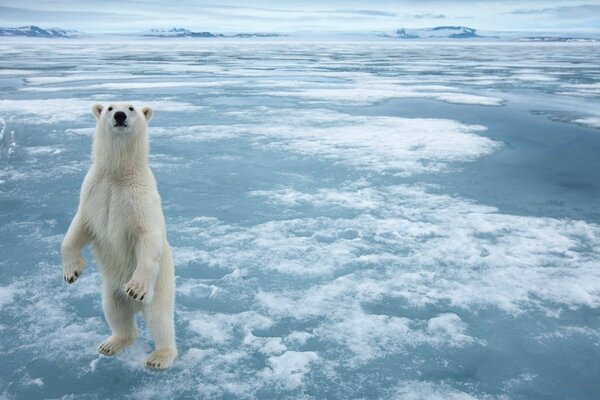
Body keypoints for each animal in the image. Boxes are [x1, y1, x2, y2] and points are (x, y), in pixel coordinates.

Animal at [61, 102, 177, 368]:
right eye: (110, 107)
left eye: (132, 107)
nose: (120, 115)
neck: (117, 174)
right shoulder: (93, 192)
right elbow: (78, 228)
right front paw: (72, 272)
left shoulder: (140, 198)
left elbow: (148, 236)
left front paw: (135, 288)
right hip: (111, 289)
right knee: (115, 312)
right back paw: (111, 343)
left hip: (161, 285)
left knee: (159, 319)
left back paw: (159, 357)